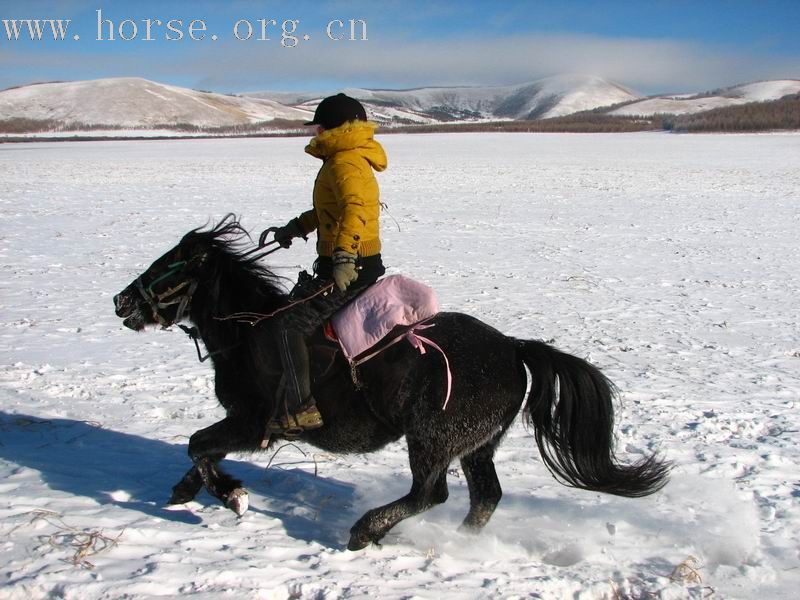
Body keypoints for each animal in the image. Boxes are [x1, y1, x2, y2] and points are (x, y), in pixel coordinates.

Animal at [112, 218, 668, 552]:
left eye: (169, 266)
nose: (121, 302)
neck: (247, 333)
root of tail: (513, 348)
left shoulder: (251, 424)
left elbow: (199, 445)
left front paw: (232, 496)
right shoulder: (245, 425)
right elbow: (202, 450)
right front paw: (188, 490)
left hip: (432, 437)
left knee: (430, 492)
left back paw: (364, 531)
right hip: (475, 444)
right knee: (484, 496)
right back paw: (460, 543)